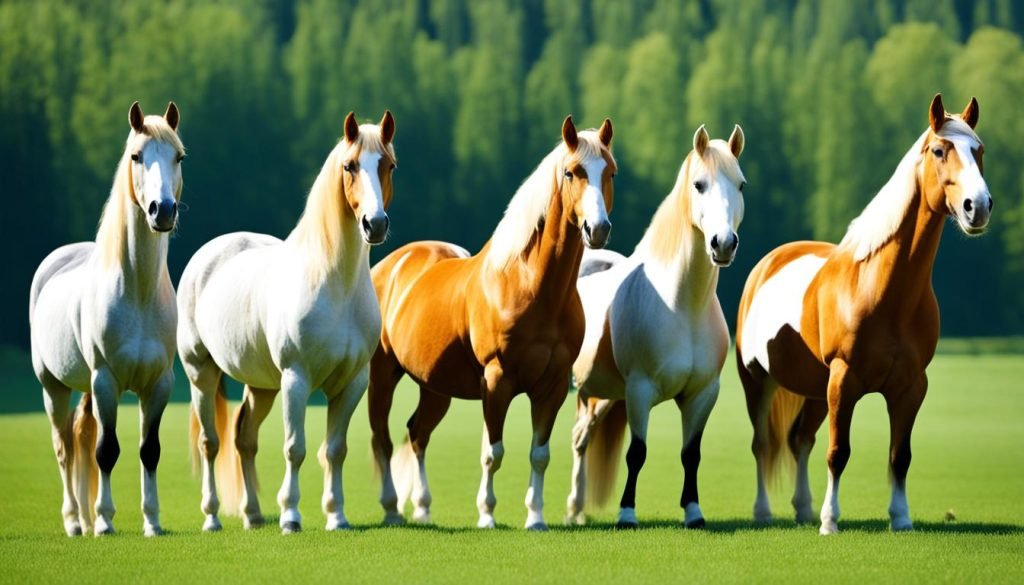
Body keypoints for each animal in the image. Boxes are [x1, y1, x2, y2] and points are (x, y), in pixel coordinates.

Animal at [29, 102, 185, 537]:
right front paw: (104, 522)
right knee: (64, 447)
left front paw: (152, 521)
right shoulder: (106, 380)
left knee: (80, 438)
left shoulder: (158, 384)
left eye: (178, 157)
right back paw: (74, 521)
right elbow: (107, 451)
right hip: (54, 387)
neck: (138, 292)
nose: (163, 211)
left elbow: (149, 450)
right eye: (136, 156)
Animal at [177, 111, 395, 533]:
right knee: (210, 443)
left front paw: (337, 516)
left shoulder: (352, 383)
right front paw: (291, 516)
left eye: (389, 165)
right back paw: (212, 517)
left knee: (244, 439)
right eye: (350, 165)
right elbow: (296, 449)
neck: (334, 284)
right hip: (201, 374)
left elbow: (335, 450)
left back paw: (252, 514)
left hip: (262, 386)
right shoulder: (297, 379)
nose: (374, 224)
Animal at [368, 116, 615, 530]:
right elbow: (492, 453)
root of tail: (389, 266)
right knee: (381, 439)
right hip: (383, 374)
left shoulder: (552, 386)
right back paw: (390, 510)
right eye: (571, 172)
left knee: (418, 435)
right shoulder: (497, 381)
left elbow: (539, 454)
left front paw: (536, 517)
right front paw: (486, 514)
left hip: (435, 387)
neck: (530, 286)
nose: (597, 229)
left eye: (610, 172)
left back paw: (422, 506)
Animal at [565, 125, 746, 528]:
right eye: (699, 184)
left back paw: (577, 511)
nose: (723, 244)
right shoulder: (640, 391)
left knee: (582, 437)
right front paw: (627, 514)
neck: (681, 305)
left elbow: (691, 454)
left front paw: (693, 512)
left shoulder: (703, 394)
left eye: (740, 184)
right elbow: (637, 453)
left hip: (601, 395)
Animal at [735, 94, 991, 535]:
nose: (978, 207)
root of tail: (768, 263)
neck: (883, 291)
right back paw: (765, 511)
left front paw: (901, 518)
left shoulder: (911, 386)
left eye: (979, 151)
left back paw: (802, 509)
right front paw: (830, 522)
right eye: (939, 151)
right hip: (759, 381)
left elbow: (899, 455)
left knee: (799, 441)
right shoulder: (844, 380)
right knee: (763, 444)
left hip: (815, 390)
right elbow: (838, 452)